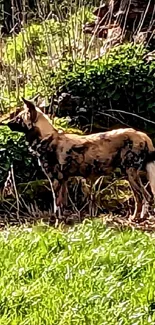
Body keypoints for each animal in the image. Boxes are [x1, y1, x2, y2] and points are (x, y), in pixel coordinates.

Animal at [6, 96, 155, 218]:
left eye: (18, 118)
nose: (7, 122)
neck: (45, 139)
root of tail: (142, 134)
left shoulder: (55, 180)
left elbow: (56, 208)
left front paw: (56, 226)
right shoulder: (63, 181)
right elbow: (62, 207)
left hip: (131, 173)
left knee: (145, 196)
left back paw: (140, 219)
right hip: (129, 175)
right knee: (141, 198)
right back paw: (135, 218)